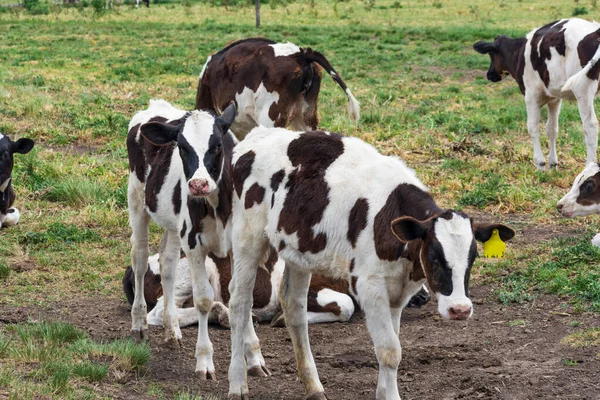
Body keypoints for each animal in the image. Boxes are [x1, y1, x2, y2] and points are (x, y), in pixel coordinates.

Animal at [225, 128, 516, 400]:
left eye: (473, 258)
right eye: (434, 256)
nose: (460, 309)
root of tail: (258, 136)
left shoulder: (397, 292)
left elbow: (392, 347)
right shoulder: (369, 287)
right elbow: (389, 350)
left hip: (298, 250)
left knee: (294, 307)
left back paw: (313, 385)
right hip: (247, 237)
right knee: (239, 302)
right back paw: (238, 383)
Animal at [474, 19, 600, 170]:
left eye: (491, 55)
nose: (489, 74)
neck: (520, 53)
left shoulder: (531, 95)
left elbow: (532, 126)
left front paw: (540, 163)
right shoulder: (554, 98)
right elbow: (552, 129)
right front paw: (553, 162)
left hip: (583, 89)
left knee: (590, 125)